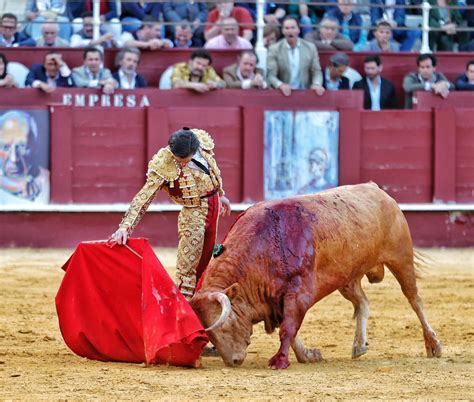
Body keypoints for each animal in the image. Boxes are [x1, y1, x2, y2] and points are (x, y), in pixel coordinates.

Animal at [191, 184, 442, 370]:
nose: (233, 361)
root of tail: (379, 191)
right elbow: (290, 329)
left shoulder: (299, 292)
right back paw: (359, 345)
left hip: (401, 257)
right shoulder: (276, 300)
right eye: (209, 334)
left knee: (414, 300)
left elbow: (288, 328)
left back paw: (433, 345)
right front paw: (308, 355)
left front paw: (280, 361)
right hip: (347, 276)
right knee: (363, 302)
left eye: (227, 323)